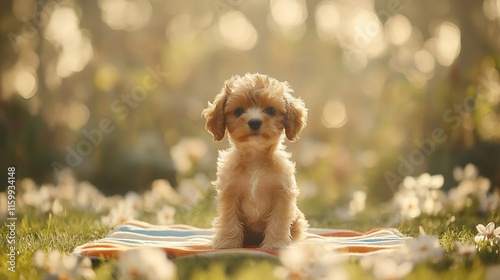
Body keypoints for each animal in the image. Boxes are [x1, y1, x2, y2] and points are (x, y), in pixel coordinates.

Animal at [201, 72, 306, 249]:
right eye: (238, 111)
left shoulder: (282, 194)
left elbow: (278, 221)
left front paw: (275, 244)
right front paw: (227, 243)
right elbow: (229, 220)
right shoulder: (230, 192)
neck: (255, 158)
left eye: (270, 110)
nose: (254, 122)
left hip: (298, 220)